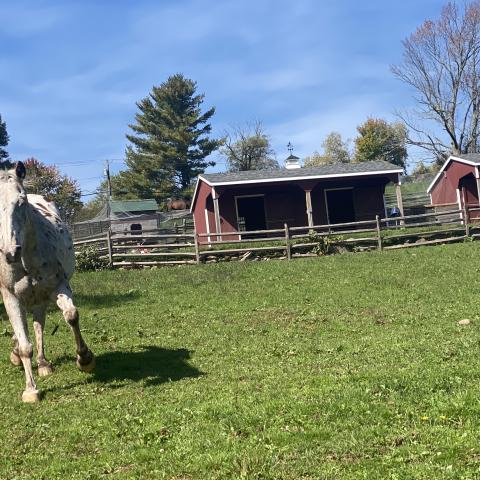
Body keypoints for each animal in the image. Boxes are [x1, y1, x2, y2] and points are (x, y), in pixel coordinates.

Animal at [0, 160, 94, 402]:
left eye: (21, 201)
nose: (10, 252)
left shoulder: (58, 286)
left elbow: (71, 315)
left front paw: (85, 359)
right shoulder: (10, 297)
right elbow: (25, 344)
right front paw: (30, 390)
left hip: (40, 297)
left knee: (38, 324)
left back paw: (43, 364)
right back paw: (18, 355)